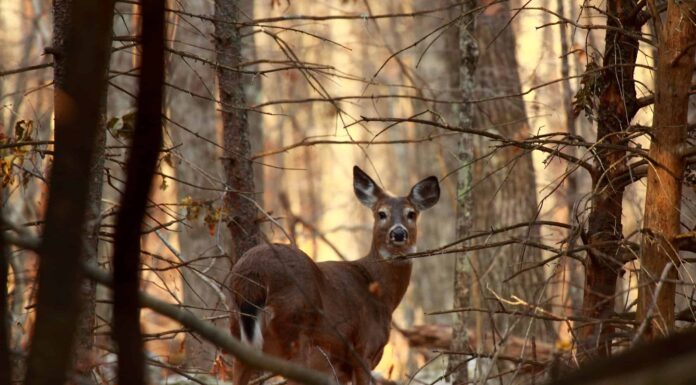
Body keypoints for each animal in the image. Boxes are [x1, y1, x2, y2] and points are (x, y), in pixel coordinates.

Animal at [228, 165, 438, 384]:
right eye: (381, 213)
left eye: (411, 214)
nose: (398, 233)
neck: (381, 293)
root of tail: (253, 276)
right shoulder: (363, 350)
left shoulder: (340, 367)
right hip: (295, 334)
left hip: (238, 336)